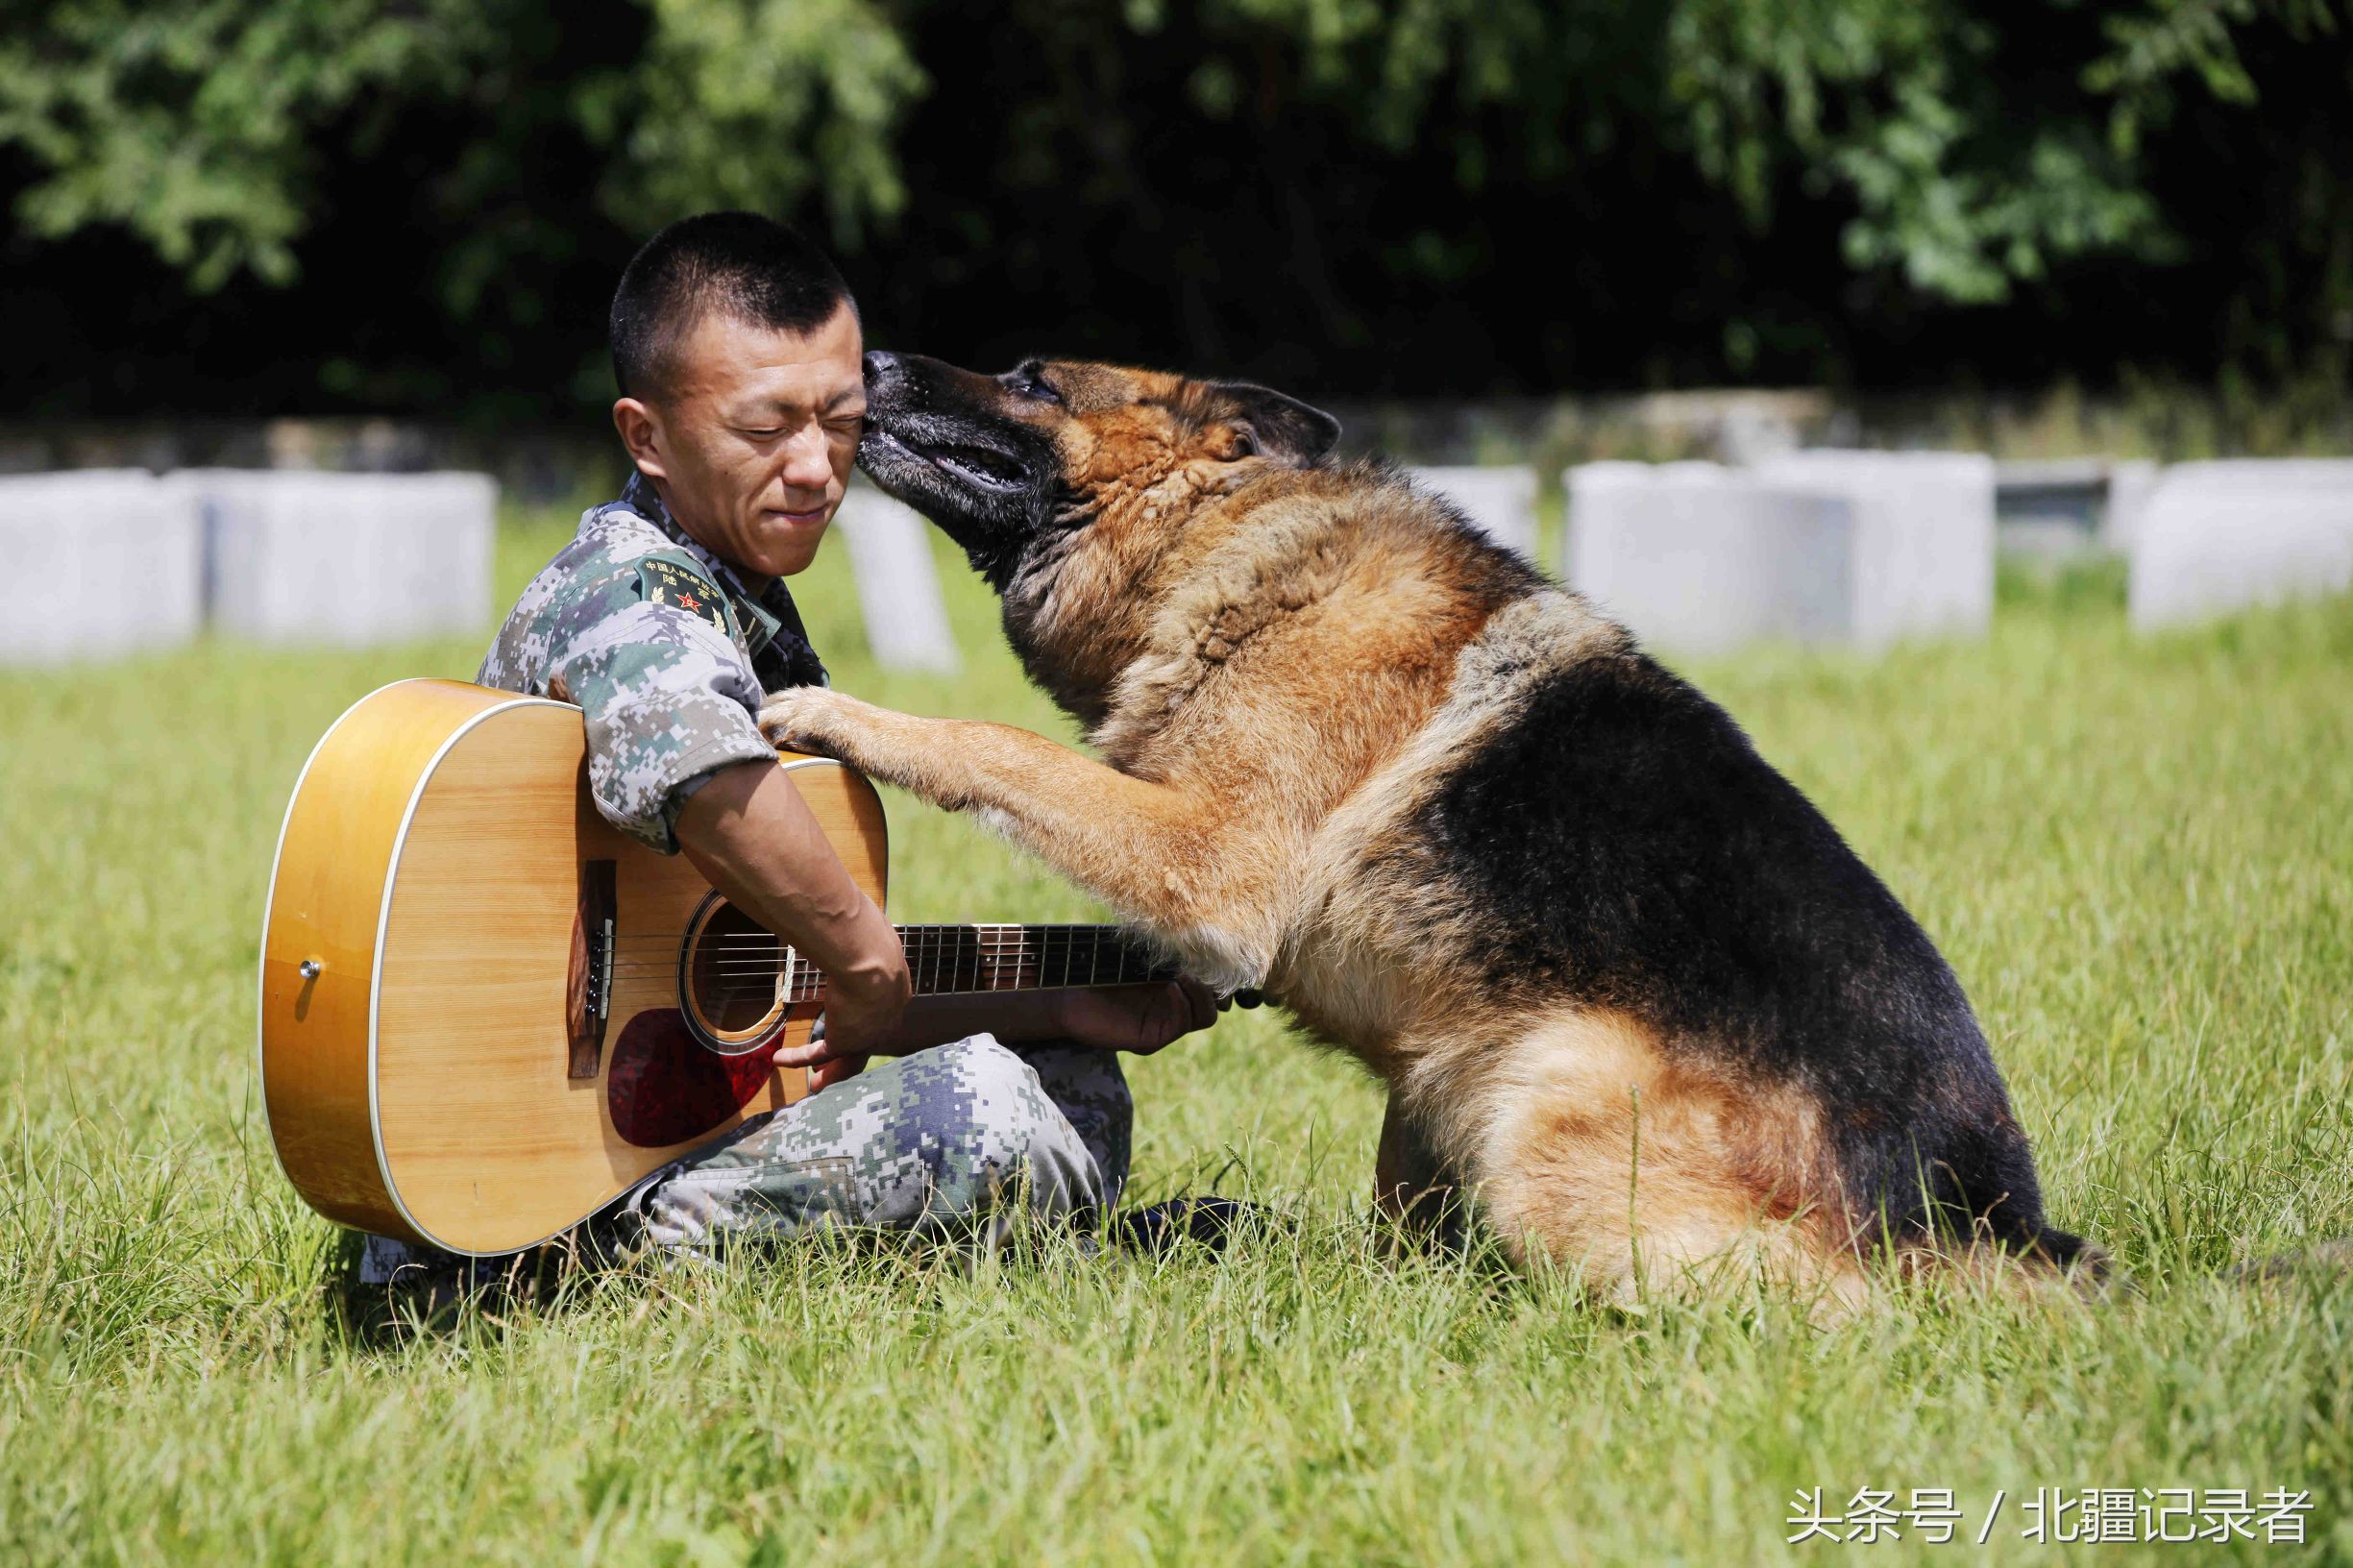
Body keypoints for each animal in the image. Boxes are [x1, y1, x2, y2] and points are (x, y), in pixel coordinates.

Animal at [762, 353, 2108, 1309]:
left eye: (1034, 380)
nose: (874, 354)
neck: (1233, 555)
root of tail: (1982, 1217)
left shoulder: (1207, 859)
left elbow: (999, 745)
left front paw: (848, 717)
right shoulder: (1418, 1056)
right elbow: (1395, 1201)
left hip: (1541, 1086)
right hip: (1478, 1065)